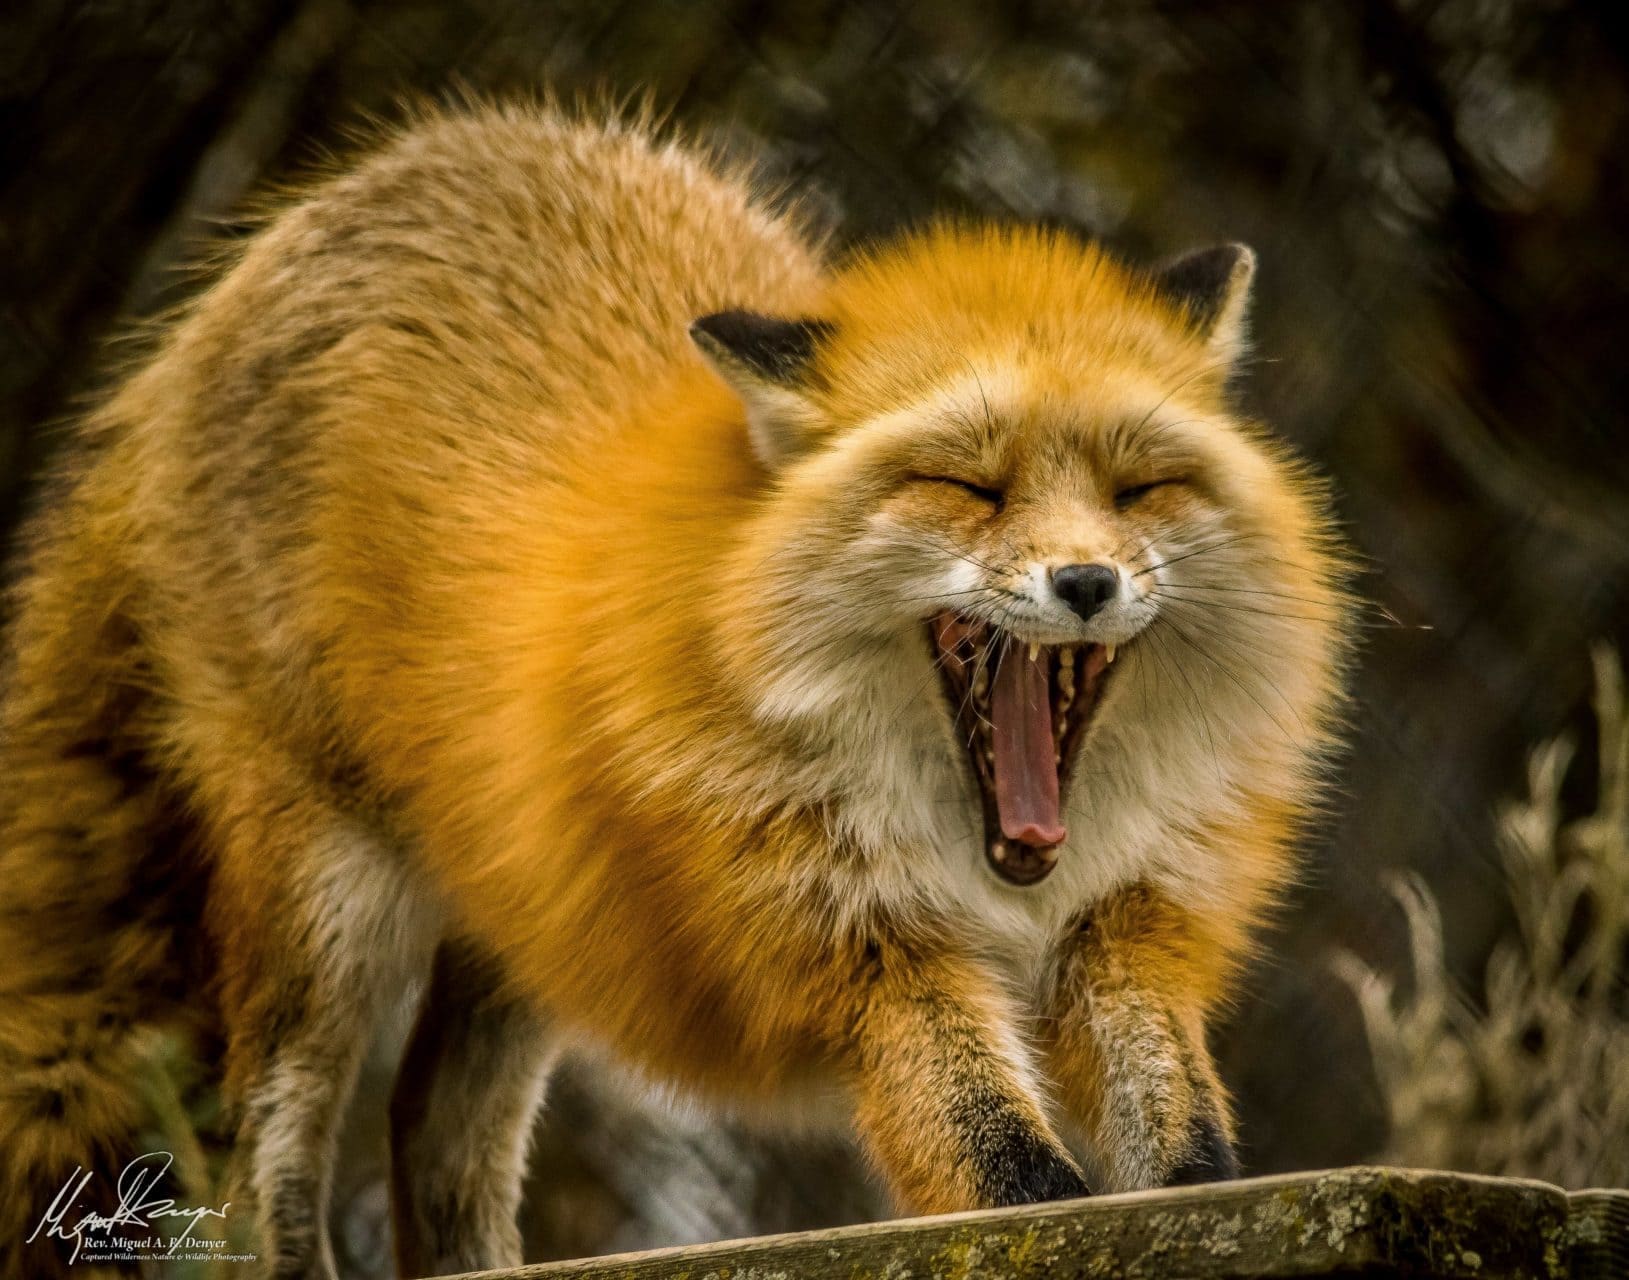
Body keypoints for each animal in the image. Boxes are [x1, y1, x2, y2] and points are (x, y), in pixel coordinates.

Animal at [0, 105, 1348, 1270]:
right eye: (968, 486)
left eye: (1139, 488)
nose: (1085, 581)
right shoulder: (867, 947)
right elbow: (1009, 1175)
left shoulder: (1126, 927)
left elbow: (1190, 1153)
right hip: (323, 902)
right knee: (251, 1166)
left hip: (532, 921)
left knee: (434, 1141)